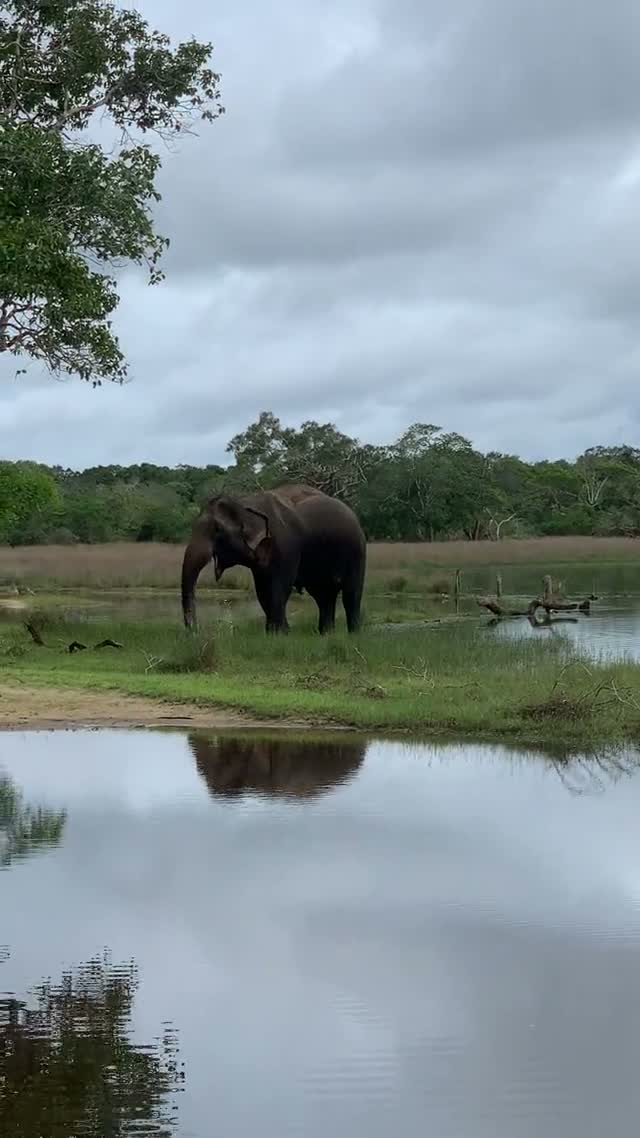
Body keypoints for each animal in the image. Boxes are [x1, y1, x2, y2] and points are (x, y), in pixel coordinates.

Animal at [181, 483, 366, 634]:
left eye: (217, 530)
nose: (196, 630)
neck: (244, 502)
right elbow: (263, 590)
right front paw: (278, 633)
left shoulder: (285, 545)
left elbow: (279, 586)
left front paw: (279, 634)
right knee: (324, 596)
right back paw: (326, 634)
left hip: (357, 551)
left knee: (351, 594)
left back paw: (354, 634)